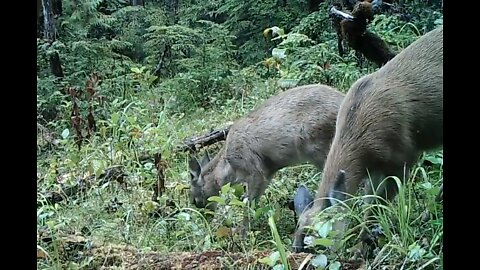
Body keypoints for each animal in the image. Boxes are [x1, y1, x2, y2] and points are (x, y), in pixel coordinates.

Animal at [188, 83, 344, 210]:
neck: (228, 167)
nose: (206, 214)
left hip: (319, 147)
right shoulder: (268, 171)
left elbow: (249, 206)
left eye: (195, 200)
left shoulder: (254, 170)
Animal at [294, 24, 444, 251]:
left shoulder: (404, 157)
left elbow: (376, 205)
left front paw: (362, 244)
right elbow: (369, 199)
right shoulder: (375, 168)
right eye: (296, 237)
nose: (296, 251)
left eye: (321, 238)